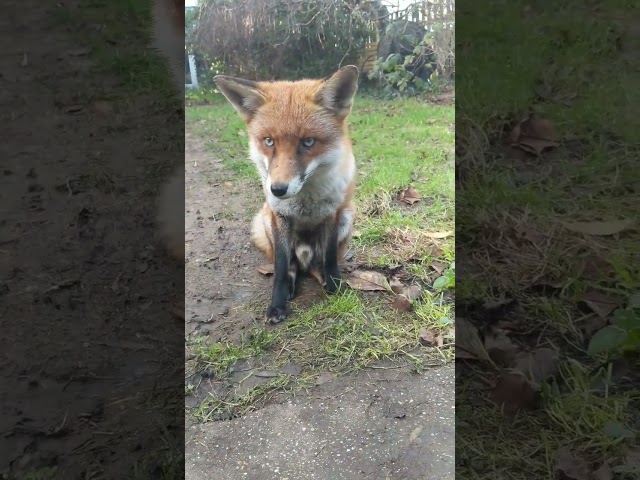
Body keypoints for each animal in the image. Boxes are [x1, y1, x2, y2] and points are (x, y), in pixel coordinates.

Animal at [215, 67, 360, 322]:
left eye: (308, 142)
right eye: (268, 141)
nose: (277, 189)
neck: (306, 200)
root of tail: (304, 255)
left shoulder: (333, 214)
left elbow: (330, 257)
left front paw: (335, 286)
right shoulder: (280, 216)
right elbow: (281, 268)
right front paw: (277, 305)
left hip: (347, 216)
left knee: (317, 264)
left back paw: (324, 278)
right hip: (266, 220)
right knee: (290, 264)